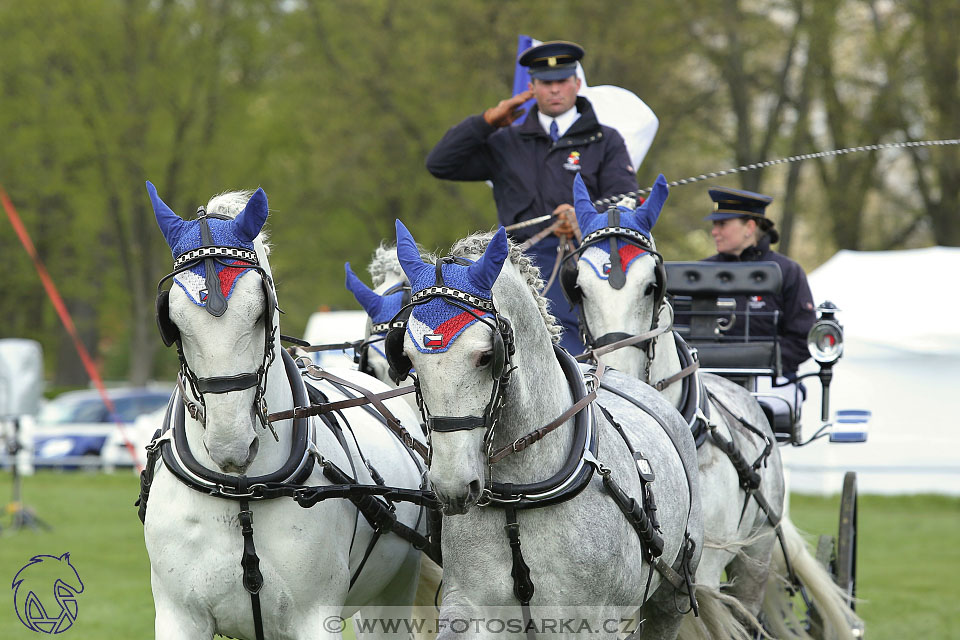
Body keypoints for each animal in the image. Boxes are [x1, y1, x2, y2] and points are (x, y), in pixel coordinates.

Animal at [141, 182, 436, 636]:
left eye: (261, 311)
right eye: (172, 319)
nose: (231, 444)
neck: (241, 492)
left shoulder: (314, 617)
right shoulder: (178, 617)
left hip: (392, 594)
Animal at [386, 218, 708, 636]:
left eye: (486, 356)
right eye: (408, 359)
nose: (452, 486)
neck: (519, 495)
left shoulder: (588, 621)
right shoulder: (469, 609)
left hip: (672, 596)